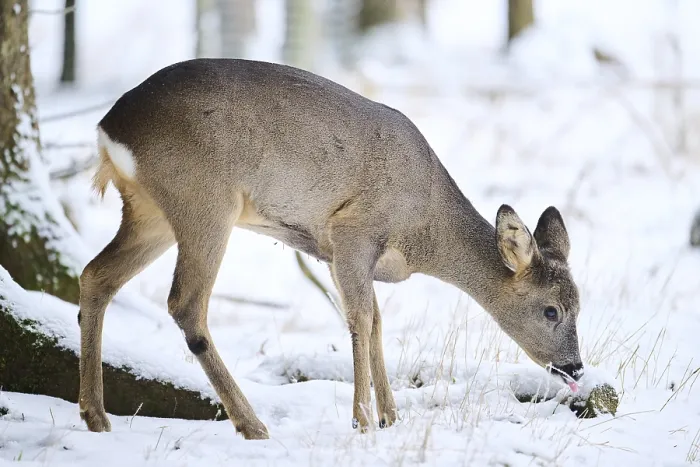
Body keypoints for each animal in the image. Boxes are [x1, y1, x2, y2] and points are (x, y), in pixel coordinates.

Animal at [78, 58, 584, 440]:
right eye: (552, 310)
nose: (576, 367)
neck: (423, 228)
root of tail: (107, 129)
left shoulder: (352, 254)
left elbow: (377, 321)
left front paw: (391, 416)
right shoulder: (352, 232)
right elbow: (360, 319)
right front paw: (363, 420)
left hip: (151, 211)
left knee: (95, 275)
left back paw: (96, 416)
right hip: (204, 200)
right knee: (185, 303)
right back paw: (252, 424)